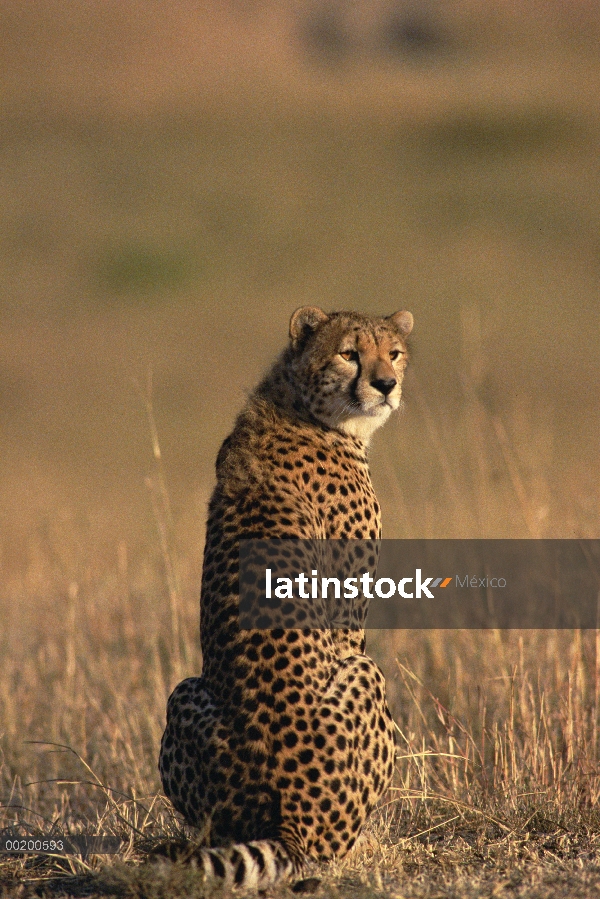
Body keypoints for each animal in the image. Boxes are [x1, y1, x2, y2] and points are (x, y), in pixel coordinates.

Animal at [158, 306, 412, 888]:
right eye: (349, 353)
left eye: (394, 352)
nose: (387, 384)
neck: (300, 403)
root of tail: (288, 817)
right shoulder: (349, 620)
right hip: (366, 673)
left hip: (185, 693)